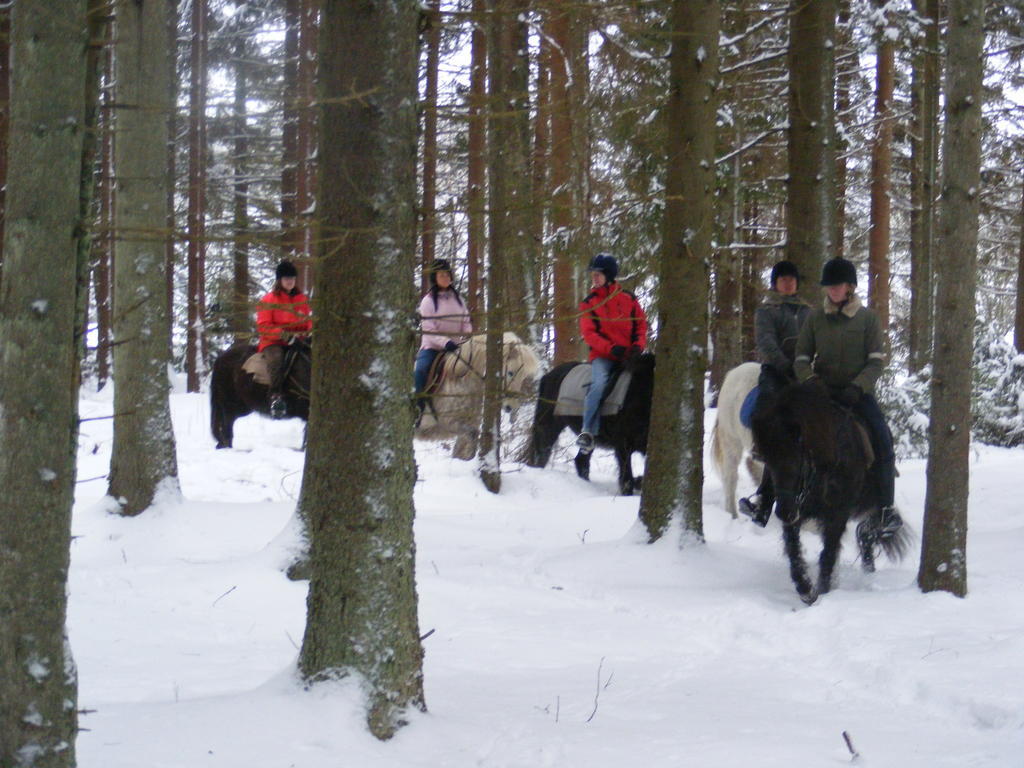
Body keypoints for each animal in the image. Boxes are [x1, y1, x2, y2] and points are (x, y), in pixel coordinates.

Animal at [415, 331, 544, 462]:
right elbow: (471, 437)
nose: (512, 407)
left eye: (524, 377)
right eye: (510, 373)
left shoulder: (469, 424)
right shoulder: (448, 422)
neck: (462, 380)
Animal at [528, 354, 655, 495]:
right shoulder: (623, 446)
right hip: (548, 426)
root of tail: (547, 376)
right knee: (542, 454)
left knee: (581, 461)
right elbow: (626, 479)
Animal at [753, 376, 913, 606]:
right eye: (768, 462)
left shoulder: (837, 515)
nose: (783, 512)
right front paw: (806, 590)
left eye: (796, 459)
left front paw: (822, 592)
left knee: (873, 527)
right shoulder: (797, 512)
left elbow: (827, 554)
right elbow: (793, 550)